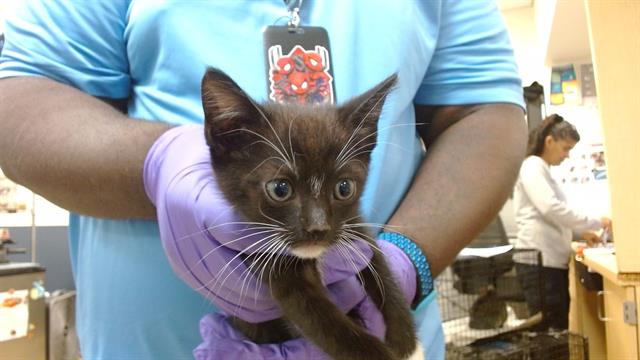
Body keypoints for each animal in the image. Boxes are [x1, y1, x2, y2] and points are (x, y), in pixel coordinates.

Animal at [200, 68, 420, 360]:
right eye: (280, 189)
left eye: (344, 188)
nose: (318, 229)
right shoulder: (266, 260)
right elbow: (324, 322)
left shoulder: (354, 225)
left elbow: (381, 270)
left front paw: (407, 344)